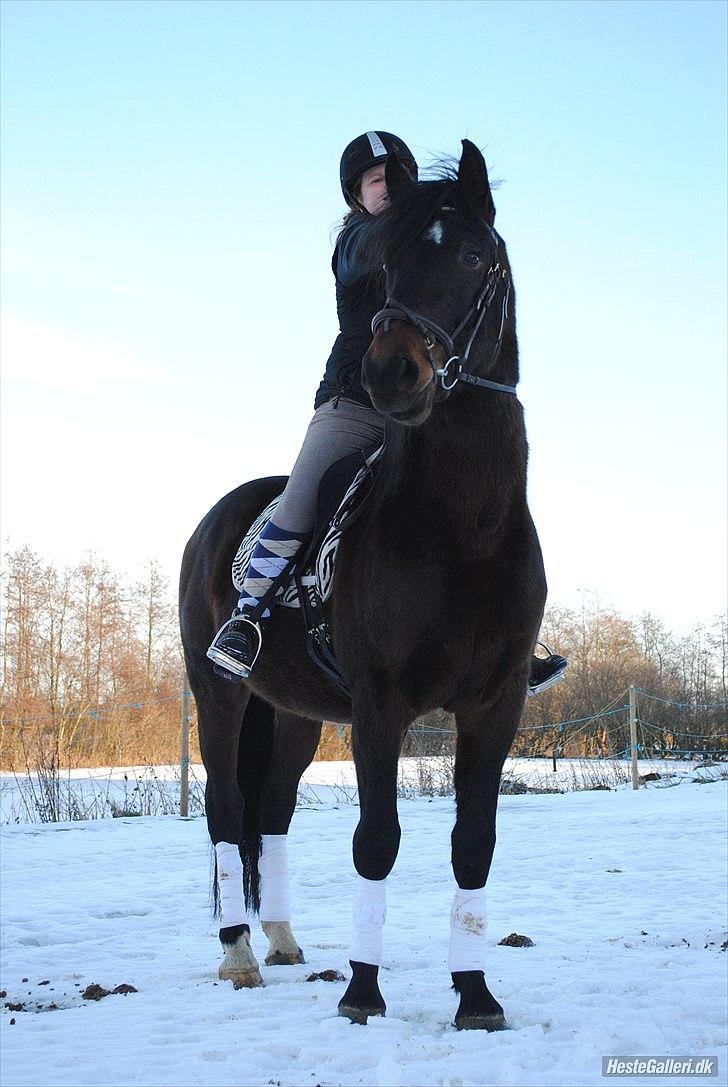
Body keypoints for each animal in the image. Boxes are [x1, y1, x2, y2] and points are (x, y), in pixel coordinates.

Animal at [181, 140, 547, 1030]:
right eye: (388, 268)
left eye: (475, 256)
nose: (392, 372)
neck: (465, 524)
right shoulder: (381, 702)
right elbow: (376, 839)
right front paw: (363, 990)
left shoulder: (497, 702)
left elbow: (473, 845)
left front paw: (475, 994)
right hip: (220, 694)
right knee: (226, 812)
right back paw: (239, 953)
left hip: (293, 715)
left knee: (271, 811)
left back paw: (282, 940)